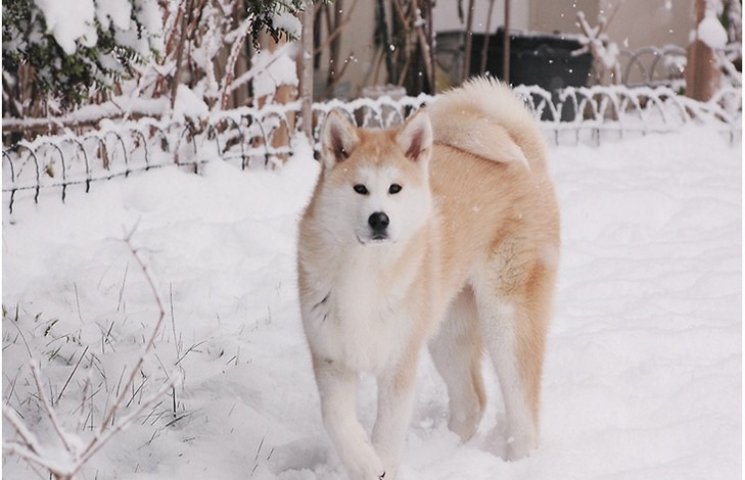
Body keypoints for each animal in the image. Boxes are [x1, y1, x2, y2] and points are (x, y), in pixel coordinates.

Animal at [296, 79, 560, 480]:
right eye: (359, 188)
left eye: (395, 188)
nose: (379, 219)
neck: (364, 271)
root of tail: (524, 150)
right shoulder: (332, 358)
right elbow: (338, 422)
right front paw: (365, 463)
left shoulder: (399, 364)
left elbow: (387, 435)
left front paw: (381, 465)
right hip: (446, 333)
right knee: (472, 402)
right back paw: (447, 452)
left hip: (505, 319)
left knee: (523, 410)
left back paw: (516, 462)